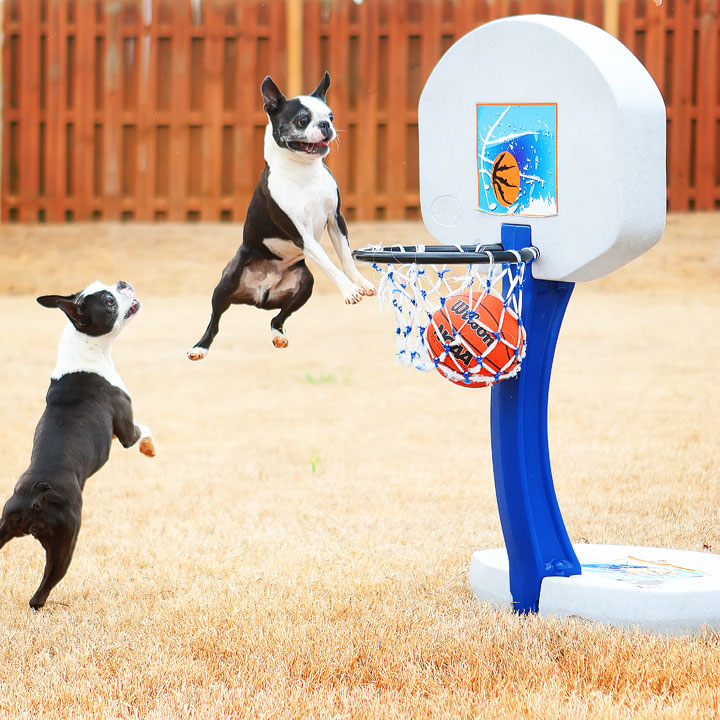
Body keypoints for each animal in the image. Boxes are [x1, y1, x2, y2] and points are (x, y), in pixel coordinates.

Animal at [0, 282, 156, 608]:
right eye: (109, 301)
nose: (122, 284)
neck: (86, 350)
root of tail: (35, 495)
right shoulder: (126, 429)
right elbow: (143, 430)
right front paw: (149, 448)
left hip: (4, 524)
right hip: (66, 542)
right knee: (39, 595)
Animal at [188, 71, 374, 358]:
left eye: (331, 116)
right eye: (302, 120)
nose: (325, 125)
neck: (304, 171)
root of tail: (261, 293)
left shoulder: (336, 219)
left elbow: (345, 257)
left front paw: (360, 283)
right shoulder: (302, 234)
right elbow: (329, 263)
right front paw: (349, 290)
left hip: (305, 283)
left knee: (277, 318)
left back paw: (279, 335)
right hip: (227, 281)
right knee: (215, 321)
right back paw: (200, 346)